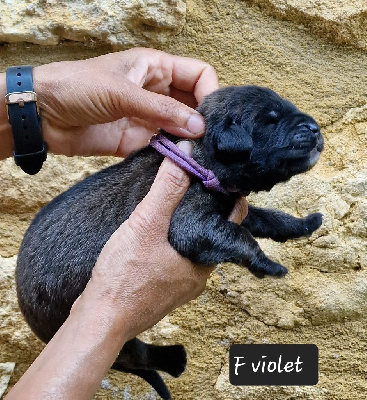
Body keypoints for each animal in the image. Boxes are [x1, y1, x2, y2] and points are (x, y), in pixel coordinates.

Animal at [15, 86, 324, 398]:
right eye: (270, 120)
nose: (315, 127)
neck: (202, 156)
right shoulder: (190, 221)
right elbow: (240, 236)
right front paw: (268, 264)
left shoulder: (234, 210)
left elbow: (266, 218)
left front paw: (304, 224)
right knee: (136, 358)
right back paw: (175, 359)